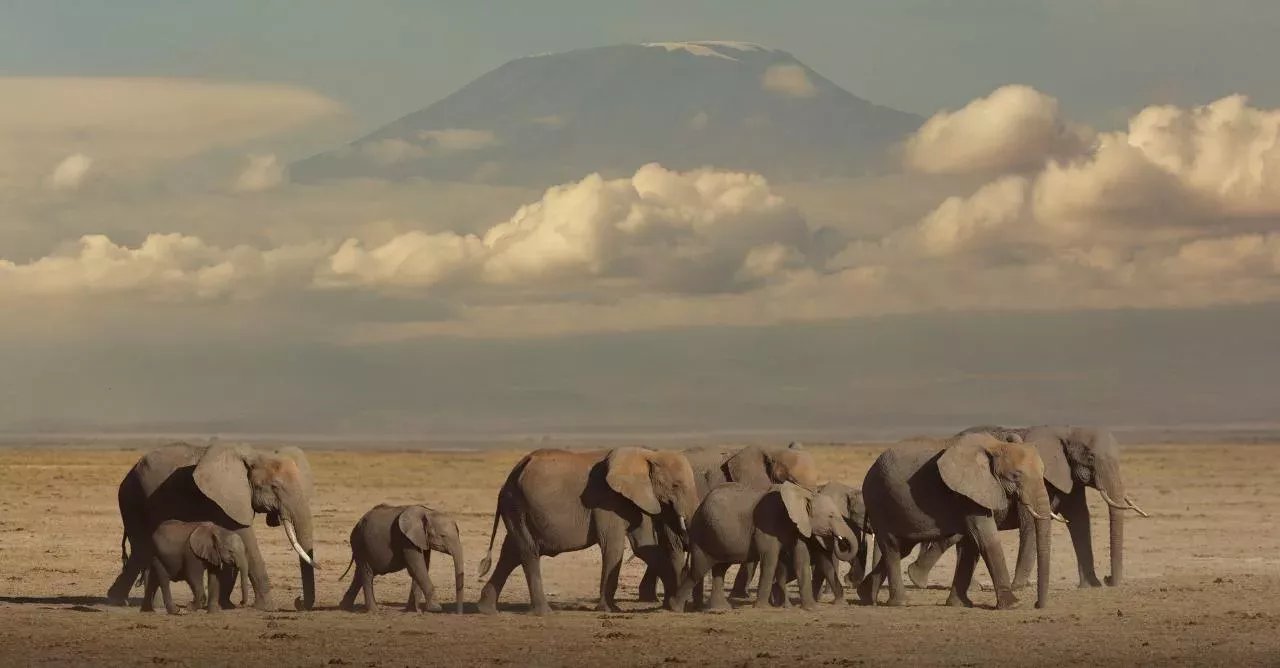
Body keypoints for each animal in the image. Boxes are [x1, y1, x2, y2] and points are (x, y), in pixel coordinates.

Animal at [106, 442, 317, 611]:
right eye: (274, 487)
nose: (299, 602)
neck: (256, 454)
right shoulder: (225, 500)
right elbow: (247, 541)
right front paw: (266, 608)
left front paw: (225, 605)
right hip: (133, 497)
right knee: (142, 548)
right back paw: (124, 602)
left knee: (141, 551)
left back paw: (123, 600)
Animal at [475, 446, 700, 616]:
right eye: (676, 485)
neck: (648, 454)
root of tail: (513, 473)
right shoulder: (607, 501)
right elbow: (613, 547)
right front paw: (610, 610)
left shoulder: (637, 500)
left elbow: (645, 548)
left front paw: (671, 604)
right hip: (517, 505)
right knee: (528, 552)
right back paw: (544, 612)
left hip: (516, 508)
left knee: (510, 552)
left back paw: (486, 610)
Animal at [671, 481, 857, 612]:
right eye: (831, 516)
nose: (838, 538)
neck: (802, 494)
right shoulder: (767, 522)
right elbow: (770, 559)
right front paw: (763, 608)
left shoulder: (799, 526)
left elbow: (802, 561)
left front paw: (813, 608)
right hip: (702, 534)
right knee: (698, 570)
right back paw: (676, 608)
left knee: (720, 568)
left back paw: (720, 609)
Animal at [859, 432, 1067, 610]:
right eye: (1016, 475)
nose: (1037, 605)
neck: (996, 447)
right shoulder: (969, 492)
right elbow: (986, 538)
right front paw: (1014, 605)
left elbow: (972, 544)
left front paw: (960, 604)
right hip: (878, 501)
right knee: (892, 547)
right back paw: (900, 603)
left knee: (903, 548)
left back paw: (865, 597)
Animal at [906, 425, 1148, 591]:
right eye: (1090, 457)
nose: (1109, 580)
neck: (1066, 431)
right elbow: (1031, 524)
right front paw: (1018, 587)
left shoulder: (1068, 477)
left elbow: (1080, 520)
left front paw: (1091, 586)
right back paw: (920, 579)